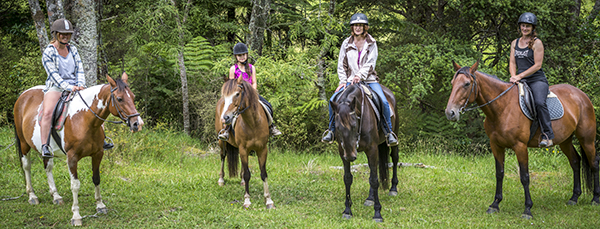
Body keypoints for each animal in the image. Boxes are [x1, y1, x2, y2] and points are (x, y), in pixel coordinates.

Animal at [12, 73, 144, 225]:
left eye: (133, 97)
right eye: (120, 98)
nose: (137, 124)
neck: (84, 119)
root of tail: (23, 95)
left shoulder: (98, 154)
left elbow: (96, 178)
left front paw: (100, 206)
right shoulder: (72, 158)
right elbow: (75, 185)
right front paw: (76, 216)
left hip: (46, 150)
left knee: (47, 166)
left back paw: (56, 196)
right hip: (24, 144)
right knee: (26, 166)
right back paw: (32, 196)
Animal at [213, 77, 274, 209]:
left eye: (237, 94)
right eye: (224, 95)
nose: (225, 118)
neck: (253, 122)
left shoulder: (262, 149)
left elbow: (263, 173)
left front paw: (268, 200)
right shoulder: (243, 148)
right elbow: (247, 174)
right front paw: (247, 200)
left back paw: (240, 181)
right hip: (222, 142)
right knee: (223, 156)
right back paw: (221, 180)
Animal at [328, 82, 398, 222]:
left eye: (354, 125)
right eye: (337, 127)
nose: (351, 156)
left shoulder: (372, 149)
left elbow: (374, 180)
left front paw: (377, 213)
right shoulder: (343, 152)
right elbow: (348, 178)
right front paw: (347, 211)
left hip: (393, 138)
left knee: (394, 158)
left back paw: (393, 189)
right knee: (373, 169)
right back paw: (370, 198)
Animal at [446, 60, 600, 218]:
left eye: (466, 84)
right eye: (452, 83)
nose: (450, 113)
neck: (502, 108)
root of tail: (581, 95)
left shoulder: (520, 146)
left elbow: (525, 177)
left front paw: (527, 209)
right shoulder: (496, 146)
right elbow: (499, 174)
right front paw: (495, 204)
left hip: (587, 139)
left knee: (594, 163)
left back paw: (595, 198)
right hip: (565, 140)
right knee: (575, 161)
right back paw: (574, 197)